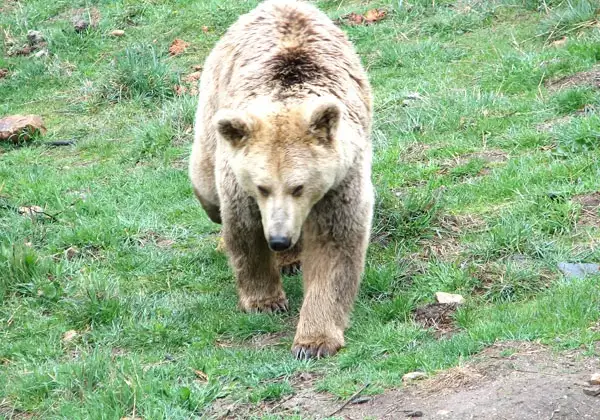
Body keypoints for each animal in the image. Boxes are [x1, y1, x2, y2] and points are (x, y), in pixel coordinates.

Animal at [190, 0, 372, 360]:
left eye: (298, 186)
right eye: (262, 186)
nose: (278, 239)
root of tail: (276, 5)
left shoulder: (340, 181)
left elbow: (334, 249)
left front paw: (313, 341)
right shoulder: (239, 181)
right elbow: (244, 231)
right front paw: (265, 301)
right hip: (213, 109)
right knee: (205, 183)